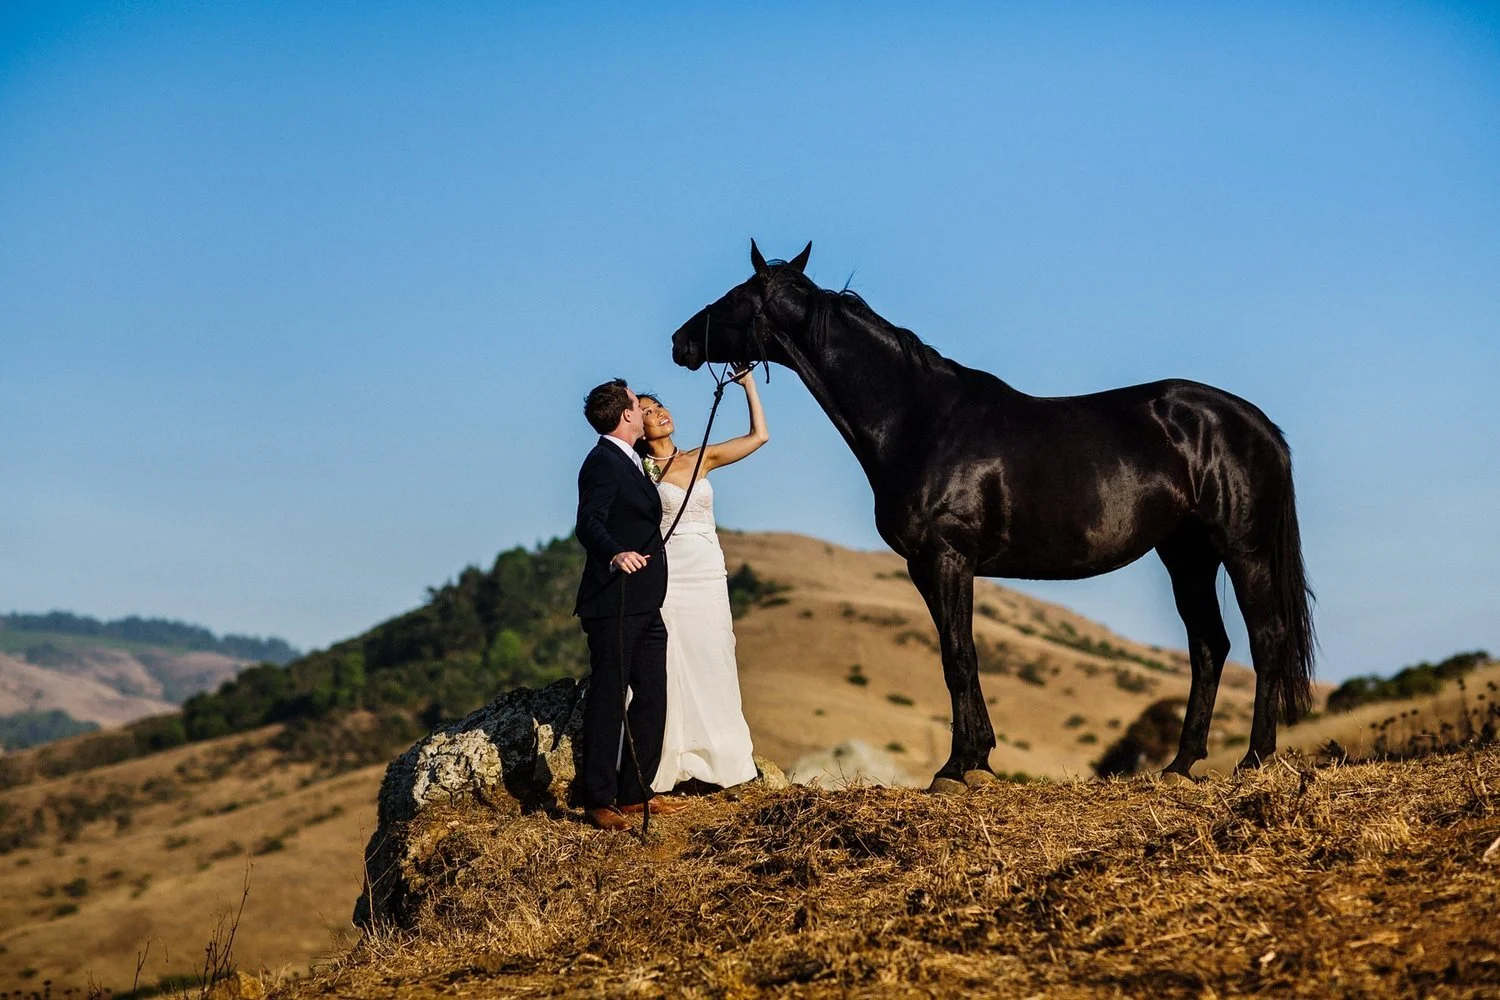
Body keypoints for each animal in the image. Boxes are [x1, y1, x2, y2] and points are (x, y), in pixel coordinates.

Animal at [671, 241, 1315, 791]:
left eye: (736, 296)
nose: (680, 342)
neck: (919, 420)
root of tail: (1258, 424)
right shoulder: (927, 567)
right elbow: (956, 651)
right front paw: (975, 758)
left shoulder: (947, 558)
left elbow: (959, 656)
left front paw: (957, 767)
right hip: (1186, 555)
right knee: (1209, 646)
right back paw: (1180, 765)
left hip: (1243, 551)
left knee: (1266, 639)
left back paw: (1254, 760)